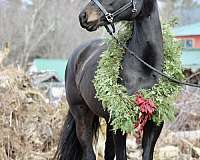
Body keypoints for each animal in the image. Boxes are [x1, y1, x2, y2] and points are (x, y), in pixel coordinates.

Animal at [55, 0, 164, 160]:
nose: (83, 16)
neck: (146, 69)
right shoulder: (120, 123)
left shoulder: (155, 123)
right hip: (81, 115)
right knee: (89, 152)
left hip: (108, 121)